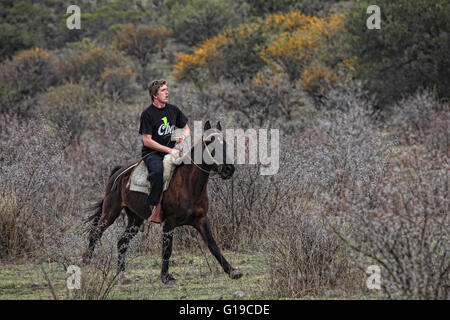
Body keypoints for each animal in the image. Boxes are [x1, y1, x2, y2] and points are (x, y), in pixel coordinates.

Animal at [81, 120, 243, 284]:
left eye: (225, 143)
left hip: (135, 219)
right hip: (110, 212)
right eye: (209, 143)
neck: (190, 185)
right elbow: (167, 249)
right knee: (95, 233)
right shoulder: (169, 222)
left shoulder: (201, 220)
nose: (229, 169)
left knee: (121, 243)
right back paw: (86, 261)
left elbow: (213, 246)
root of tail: (118, 172)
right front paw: (165, 277)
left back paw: (121, 274)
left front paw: (232, 271)